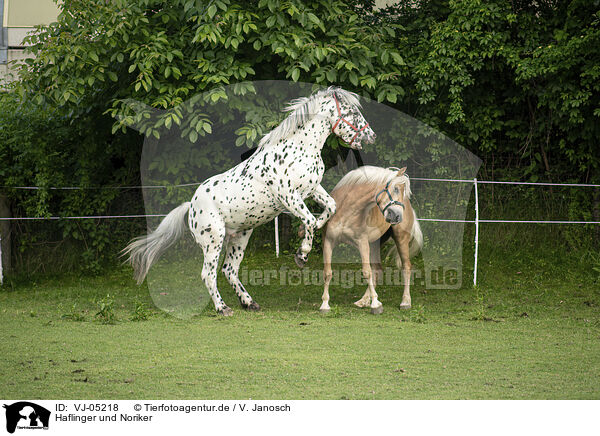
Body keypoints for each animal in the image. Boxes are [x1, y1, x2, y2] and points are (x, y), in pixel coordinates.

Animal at [122, 87, 376, 316]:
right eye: (352, 111)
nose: (371, 136)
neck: (297, 149)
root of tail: (191, 206)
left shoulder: (312, 189)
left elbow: (328, 209)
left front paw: (303, 241)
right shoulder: (289, 197)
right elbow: (311, 220)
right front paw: (302, 255)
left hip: (240, 237)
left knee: (229, 270)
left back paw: (249, 303)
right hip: (213, 240)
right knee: (208, 274)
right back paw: (223, 308)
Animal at [318, 166, 422, 314]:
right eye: (396, 189)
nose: (398, 216)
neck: (346, 211)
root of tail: (408, 206)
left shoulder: (362, 243)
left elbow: (366, 272)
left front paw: (376, 305)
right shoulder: (328, 242)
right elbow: (327, 273)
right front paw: (325, 304)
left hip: (401, 238)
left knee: (406, 266)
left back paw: (405, 301)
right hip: (374, 243)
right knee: (377, 269)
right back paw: (364, 300)